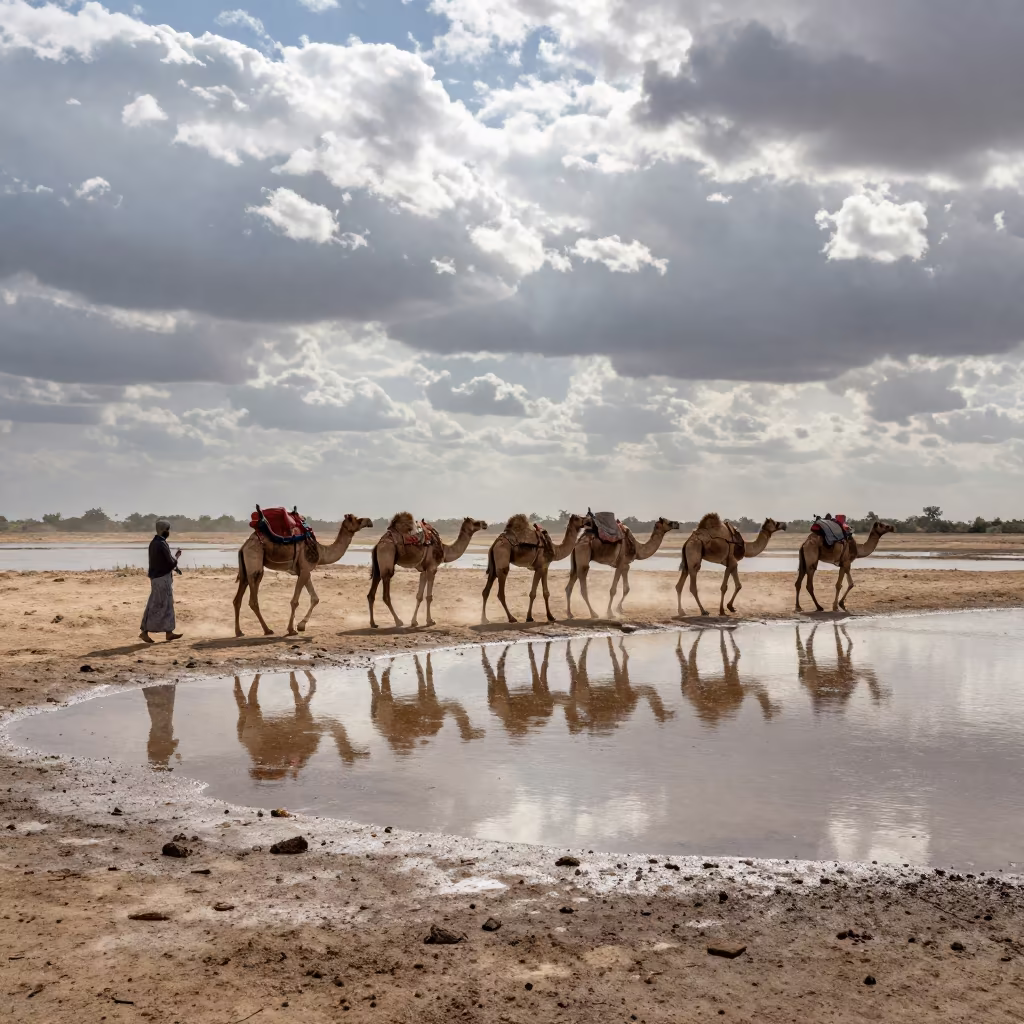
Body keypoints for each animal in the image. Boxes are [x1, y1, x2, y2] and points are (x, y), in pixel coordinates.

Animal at [233, 513, 373, 637]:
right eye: (356, 519)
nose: (369, 521)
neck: (321, 552)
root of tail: (243, 546)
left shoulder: (305, 571)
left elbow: (315, 598)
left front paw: (301, 625)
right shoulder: (305, 569)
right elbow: (295, 601)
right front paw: (291, 630)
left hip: (245, 568)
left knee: (237, 599)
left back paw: (239, 632)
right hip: (255, 561)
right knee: (253, 599)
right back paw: (267, 630)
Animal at [233, 671, 368, 780]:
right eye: (351, 756)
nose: (365, 752)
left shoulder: (305, 715)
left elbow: (303, 685)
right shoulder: (303, 717)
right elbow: (295, 686)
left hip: (247, 731)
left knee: (242, 705)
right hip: (255, 729)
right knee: (252, 701)